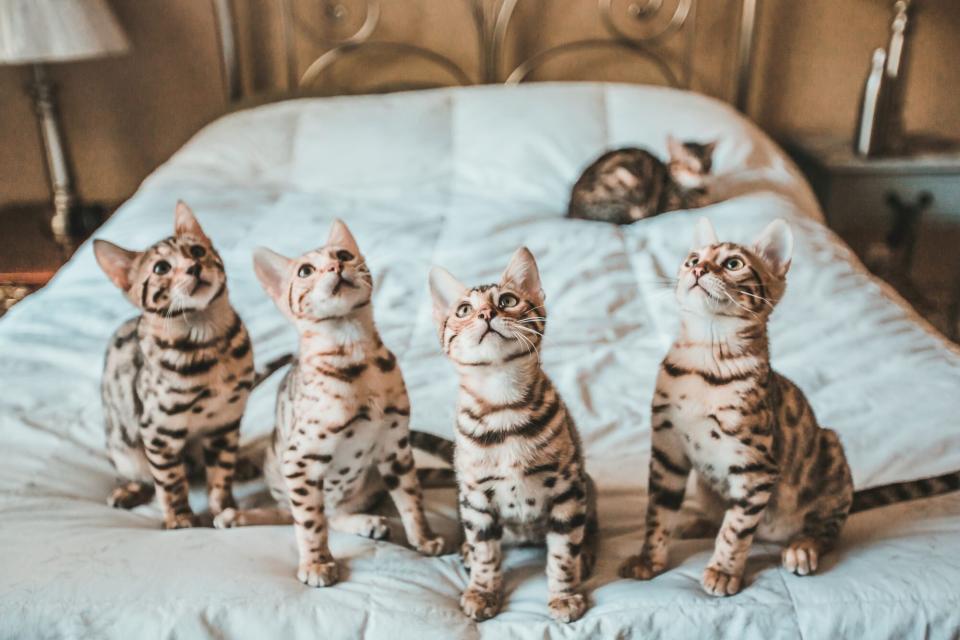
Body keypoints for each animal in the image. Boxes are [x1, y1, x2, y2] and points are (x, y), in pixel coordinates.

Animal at [94, 202, 256, 528]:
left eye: (197, 251)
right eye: (161, 268)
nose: (194, 267)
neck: (209, 342)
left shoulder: (225, 421)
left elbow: (220, 475)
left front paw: (224, 509)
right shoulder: (158, 430)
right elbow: (170, 482)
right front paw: (180, 518)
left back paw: (242, 464)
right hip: (124, 449)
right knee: (141, 476)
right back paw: (127, 492)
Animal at [212, 218, 444, 588]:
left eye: (344, 255)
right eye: (305, 271)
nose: (336, 267)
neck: (354, 350)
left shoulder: (395, 447)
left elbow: (411, 499)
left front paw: (423, 538)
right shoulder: (301, 460)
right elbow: (309, 522)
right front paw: (317, 563)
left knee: (334, 513)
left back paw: (367, 521)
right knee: (294, 512)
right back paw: (236, 515)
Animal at [430, 248, 596, 624]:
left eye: (507, 300)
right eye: (464, 310)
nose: (487, 314)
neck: (503, 406)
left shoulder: (567, 488)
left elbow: (563, 551)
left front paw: (564, 594)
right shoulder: (476, 496)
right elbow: (486, 552)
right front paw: (482, 591)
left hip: (586, 483)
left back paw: (587, 553)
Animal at [620, 219, 960, 596]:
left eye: (733, 264)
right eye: (692, 258)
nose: (697, 268)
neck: (705, 360)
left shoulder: (756, 467)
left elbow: (736, 528)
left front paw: (723, 571)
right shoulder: (667, 450)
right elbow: (658, 512)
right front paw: (649, 559)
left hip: (830, 451)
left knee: (825, 529)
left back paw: (802, 547)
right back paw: (698, 523)